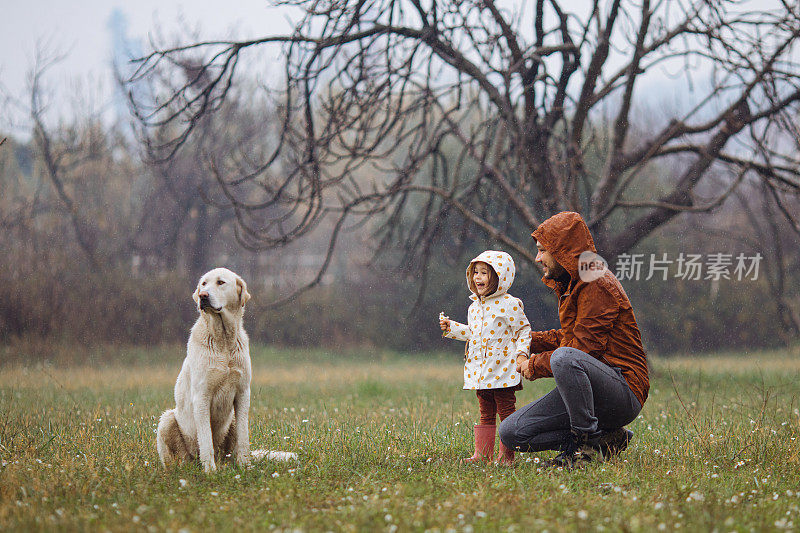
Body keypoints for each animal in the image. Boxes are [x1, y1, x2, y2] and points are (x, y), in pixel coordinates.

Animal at [156, 268, 294, 472]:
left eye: (220, 282)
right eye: (203, 284)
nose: (203, 296)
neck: (224, 341)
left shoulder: (243, 393)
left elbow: (243, 438)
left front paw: (246, 467)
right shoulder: (202, 396)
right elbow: (206, 440)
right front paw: (210, 472)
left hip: (232, 422)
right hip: (167, 419)